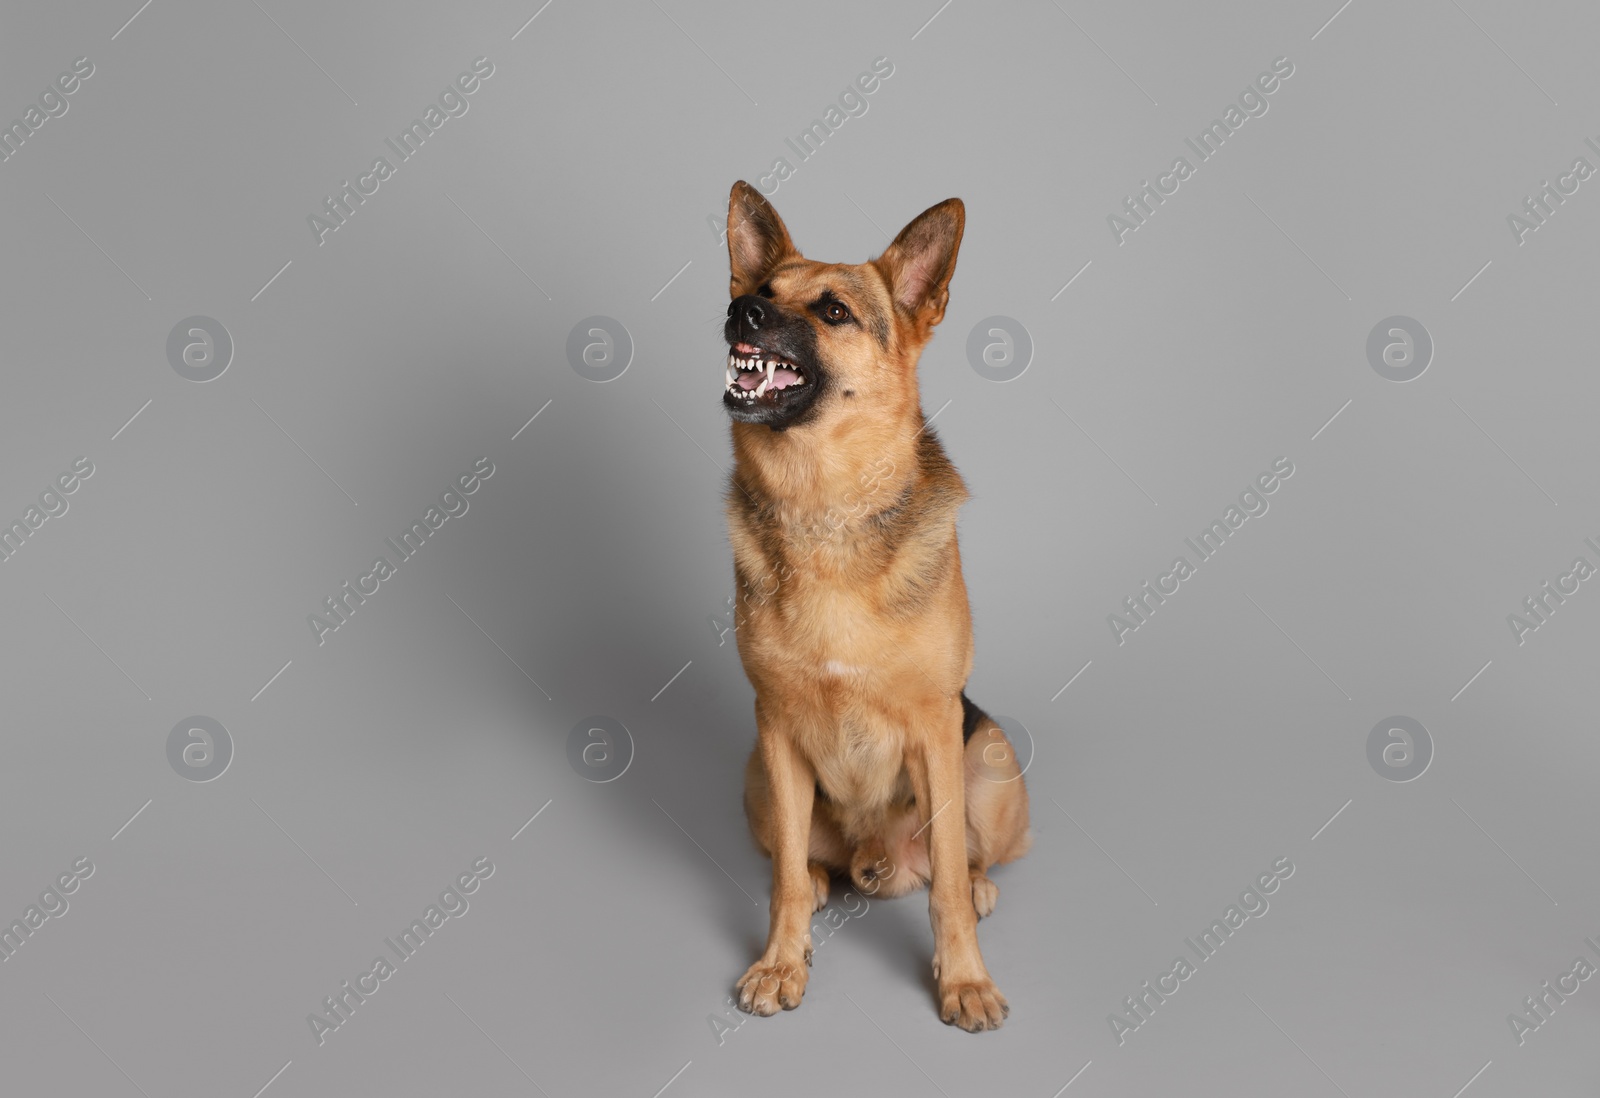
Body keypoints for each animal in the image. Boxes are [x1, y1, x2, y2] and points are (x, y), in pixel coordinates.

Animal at [720, 180, 1030, 1030]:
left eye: (833, 311)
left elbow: (947, 885)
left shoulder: (935, 726)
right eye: (762, 292)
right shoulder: (775, 728)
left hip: (989, 758)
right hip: (756, 775)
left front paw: (964, 981)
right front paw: (781, 961)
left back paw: (980, 884)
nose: (740, 314)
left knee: (967, 857)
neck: (825, 509)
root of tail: (876, 856)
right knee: (802, 861)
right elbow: (785, 881)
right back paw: (828, 878)